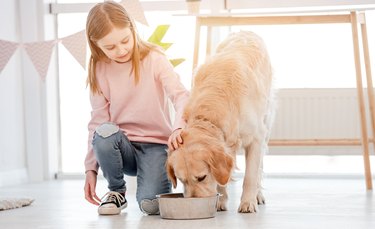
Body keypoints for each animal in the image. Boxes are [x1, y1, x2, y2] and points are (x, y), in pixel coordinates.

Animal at [166, 30, 274, 213]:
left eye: (201, 177)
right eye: (181, 180)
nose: (194, 202)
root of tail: (246, 31)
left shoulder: (256, 138)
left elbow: (251, 176)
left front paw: (247, 202)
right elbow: (221, 178)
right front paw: (220, 200)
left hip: (266, 122)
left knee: (259, 168)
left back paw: (258, 195)